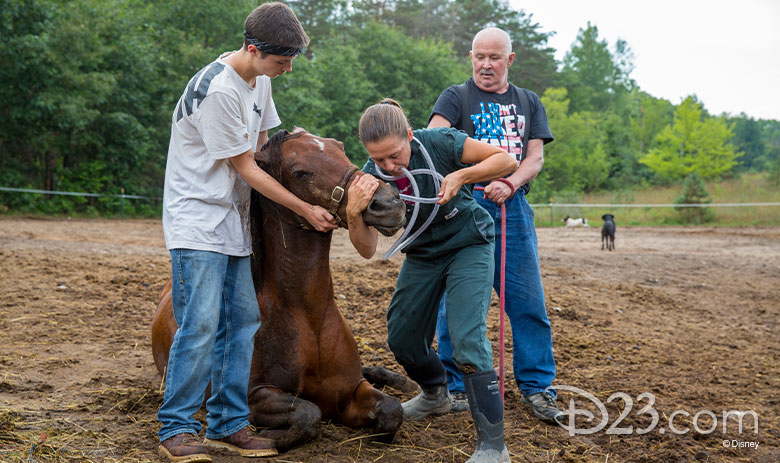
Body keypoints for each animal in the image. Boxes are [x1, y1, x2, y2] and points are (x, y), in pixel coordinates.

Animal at [149, 129, 412, 452]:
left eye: (340, 149)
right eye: (300, 172)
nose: (388, 203)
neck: (307, 317)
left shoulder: (350, 391)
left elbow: (391, 411)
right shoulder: (255, 395)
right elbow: (308, 413)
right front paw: (268, 437)